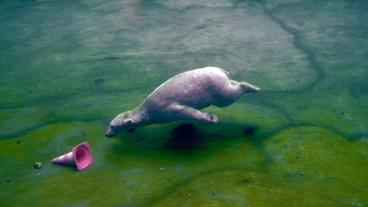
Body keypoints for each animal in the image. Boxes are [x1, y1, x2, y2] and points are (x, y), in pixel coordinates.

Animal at [105, 66, 260, 137]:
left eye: (112, 126)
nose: (106, 134)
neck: (146, 111)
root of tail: (221, 70)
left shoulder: (164, 109)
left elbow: (184, 111)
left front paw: (211, 118)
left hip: (214, 86)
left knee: (226, 97)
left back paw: (252, 87)